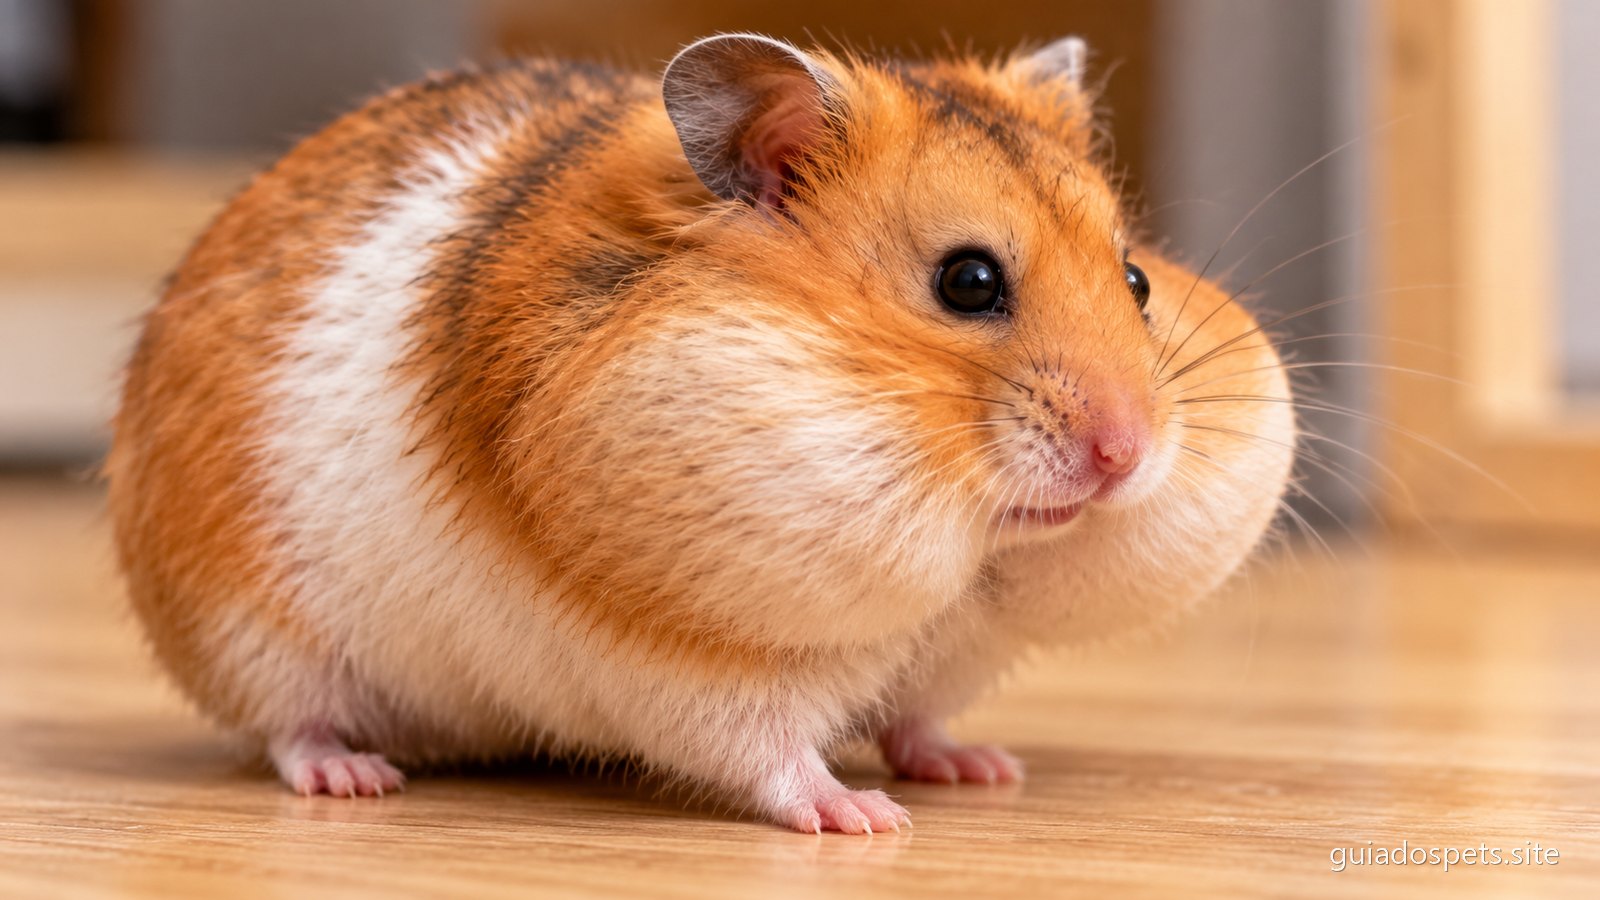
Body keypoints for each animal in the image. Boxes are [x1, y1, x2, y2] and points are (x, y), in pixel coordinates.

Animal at [106, 33, 1294, 833]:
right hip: (247, 633)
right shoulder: (690, 664)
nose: (1126, 457)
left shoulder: (948, 653)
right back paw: (355, 778)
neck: (967, 552)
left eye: (1136, 281)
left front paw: (980, 769)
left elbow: (915, 717)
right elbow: (765, 753)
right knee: (288, 724)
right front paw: (864, 820)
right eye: (967, 282)